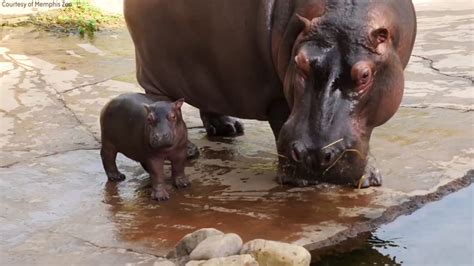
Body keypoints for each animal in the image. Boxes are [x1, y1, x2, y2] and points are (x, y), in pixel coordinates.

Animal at [124, 0, 416, 187]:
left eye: (364, 75)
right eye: (299, 62)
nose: (313, 155)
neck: (342, 17)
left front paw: (370, 178)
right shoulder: (275, 92)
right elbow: (281, 120)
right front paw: (296, 179)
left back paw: (228, 128)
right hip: (154, 70)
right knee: (162, 104)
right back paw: (189, 150)